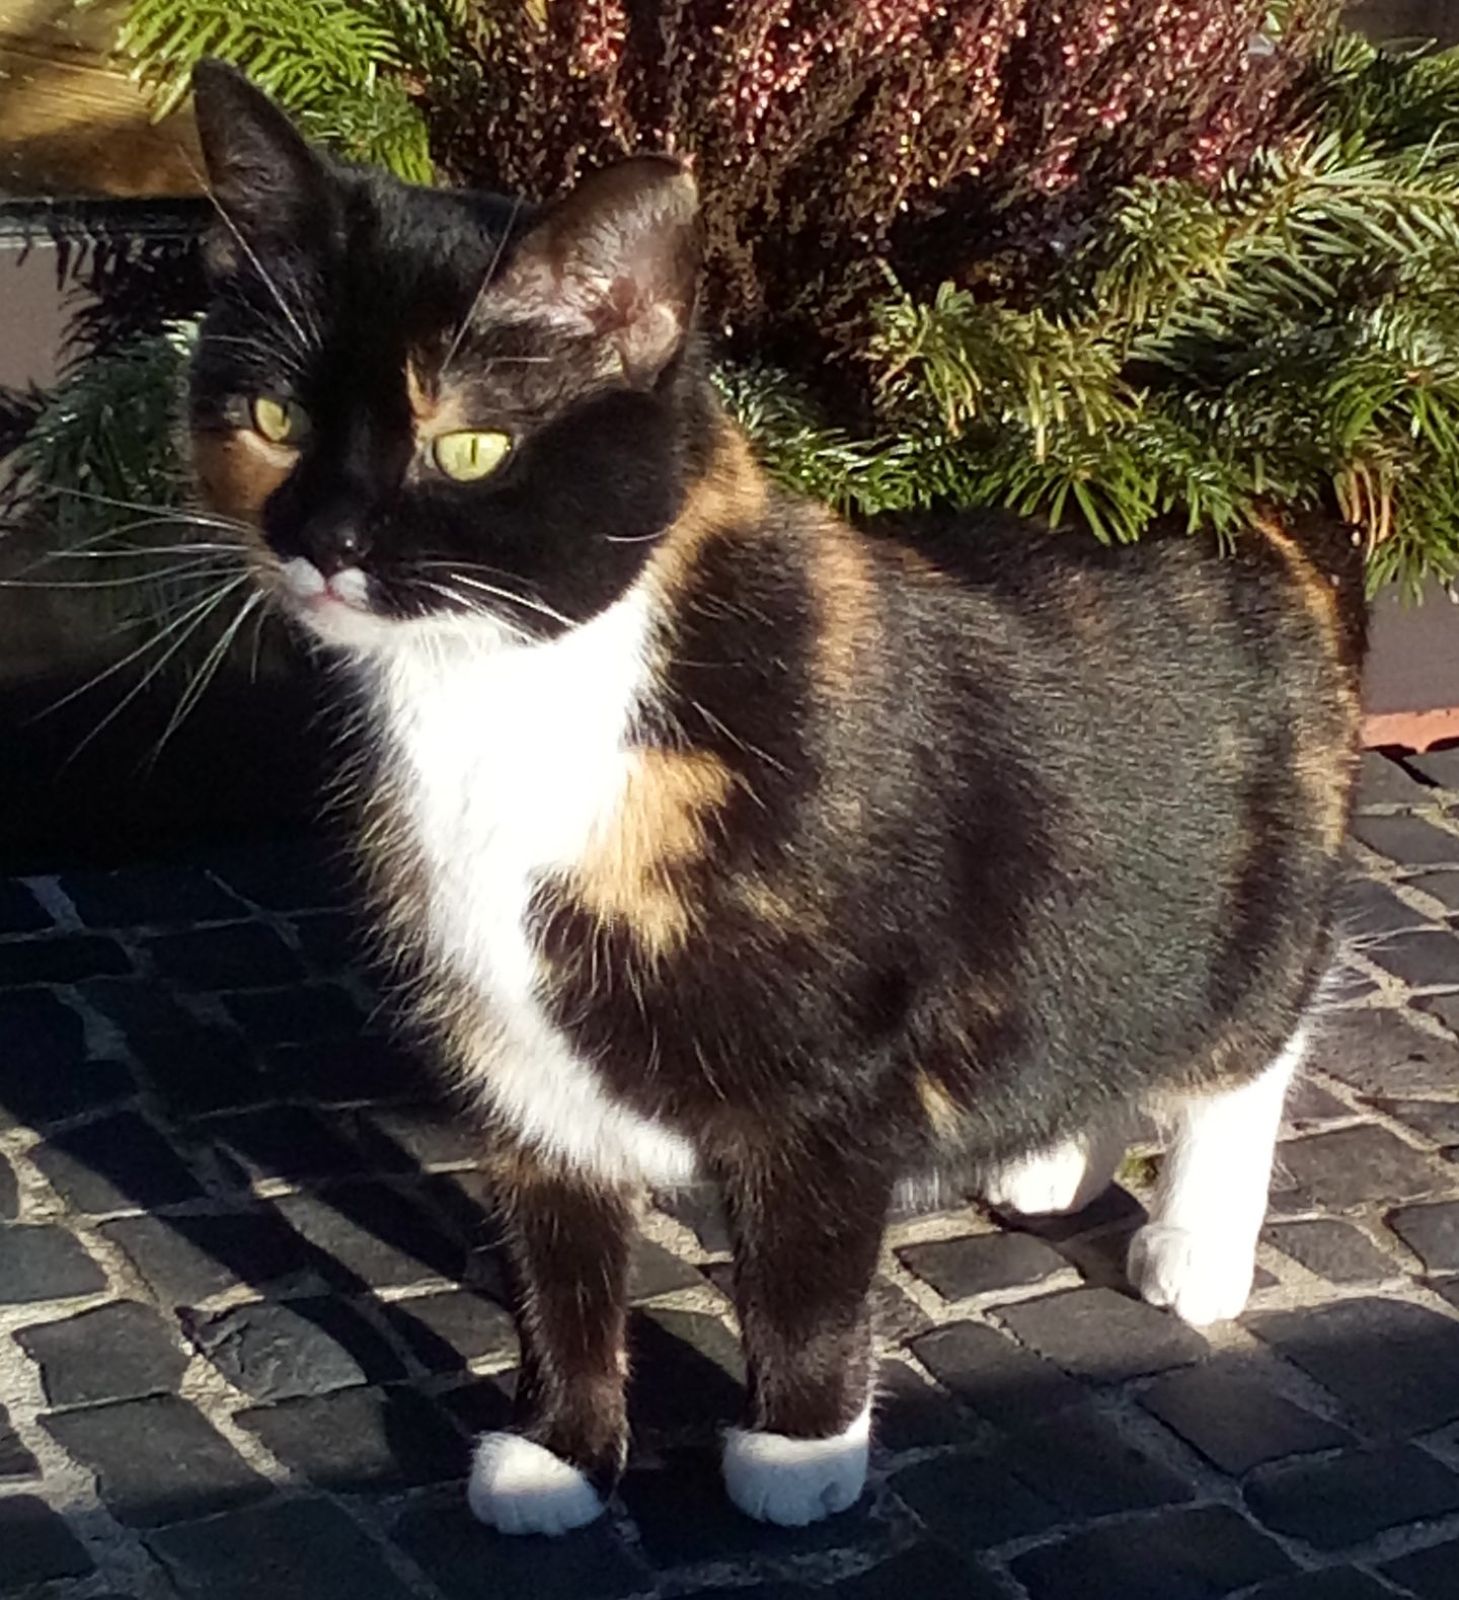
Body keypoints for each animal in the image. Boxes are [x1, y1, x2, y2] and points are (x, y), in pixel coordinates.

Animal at [186, 60, 1365, 1535]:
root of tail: (1225, 497)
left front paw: (798, 1449)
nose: (327, 542)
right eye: (274, 420)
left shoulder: (834, 1067)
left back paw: (1194, 1241)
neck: (511, 708)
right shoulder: (512, 1041)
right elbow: (554, 1263)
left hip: (1250, 881)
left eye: (468, 448)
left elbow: (801, 1263)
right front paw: (561, 1448)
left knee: (1248, 1042)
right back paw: (1046, 1159)